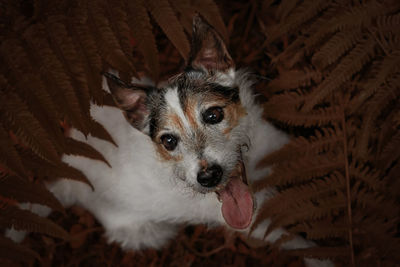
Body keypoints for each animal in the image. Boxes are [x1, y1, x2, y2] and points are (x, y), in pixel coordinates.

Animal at [6, 16, 332, 267]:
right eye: (168, 141)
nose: (208, 177)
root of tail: (69, 176)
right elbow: (300, 242)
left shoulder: (276, 145)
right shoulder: (259, 224)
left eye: (213, 114)